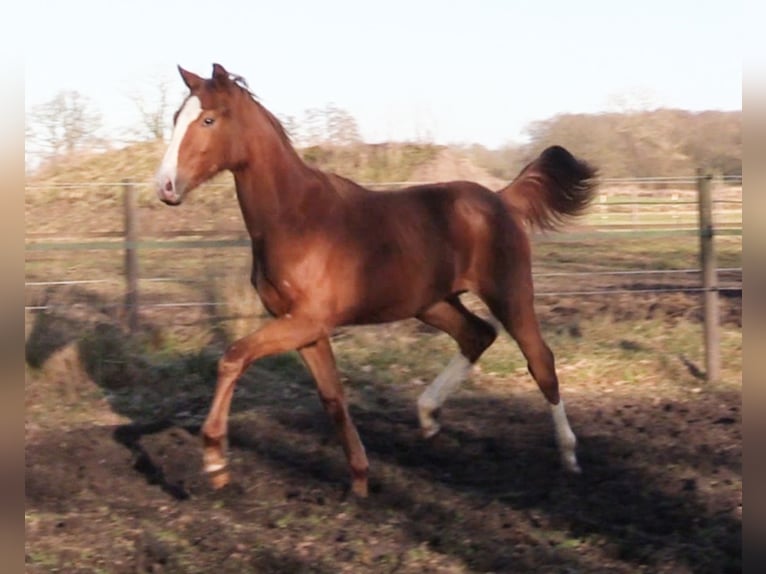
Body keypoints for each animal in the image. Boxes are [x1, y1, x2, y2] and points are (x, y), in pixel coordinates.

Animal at [154, 62, 600, 496]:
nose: (165, 187)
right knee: (477, 335)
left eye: (208, 119)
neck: (295, 218)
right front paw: (360, 481)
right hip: (432, 303)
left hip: (509, 293)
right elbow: (333, 398)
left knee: (540, 360)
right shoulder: (304, 329)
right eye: (176, 117)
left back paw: (569, 457)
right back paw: (428, 417)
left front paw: (214, 461)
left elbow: (233, 357)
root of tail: (501, 198)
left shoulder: (307, 321)